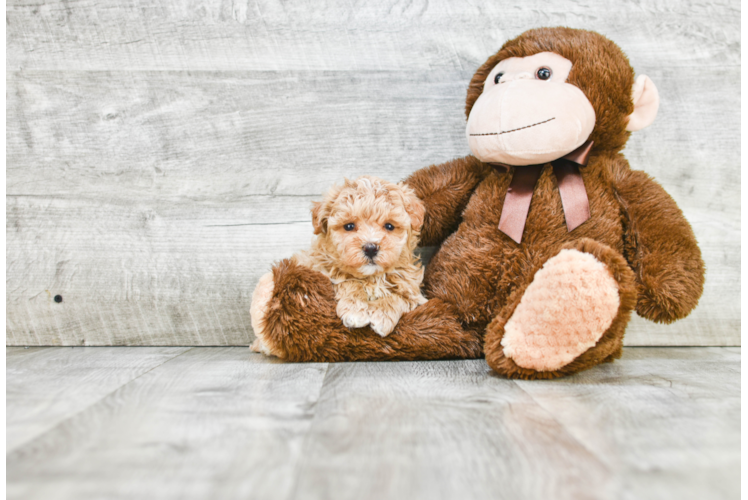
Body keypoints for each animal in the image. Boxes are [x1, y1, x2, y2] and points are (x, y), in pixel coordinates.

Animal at [251, 178, 426, 354]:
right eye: (349, 226)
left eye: (389, 226)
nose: (370, 248)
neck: (371, 277)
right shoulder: (322, 271)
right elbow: (348, 282)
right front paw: (355, 310)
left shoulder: (413, 292)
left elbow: (399, 297)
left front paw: (381, 315)